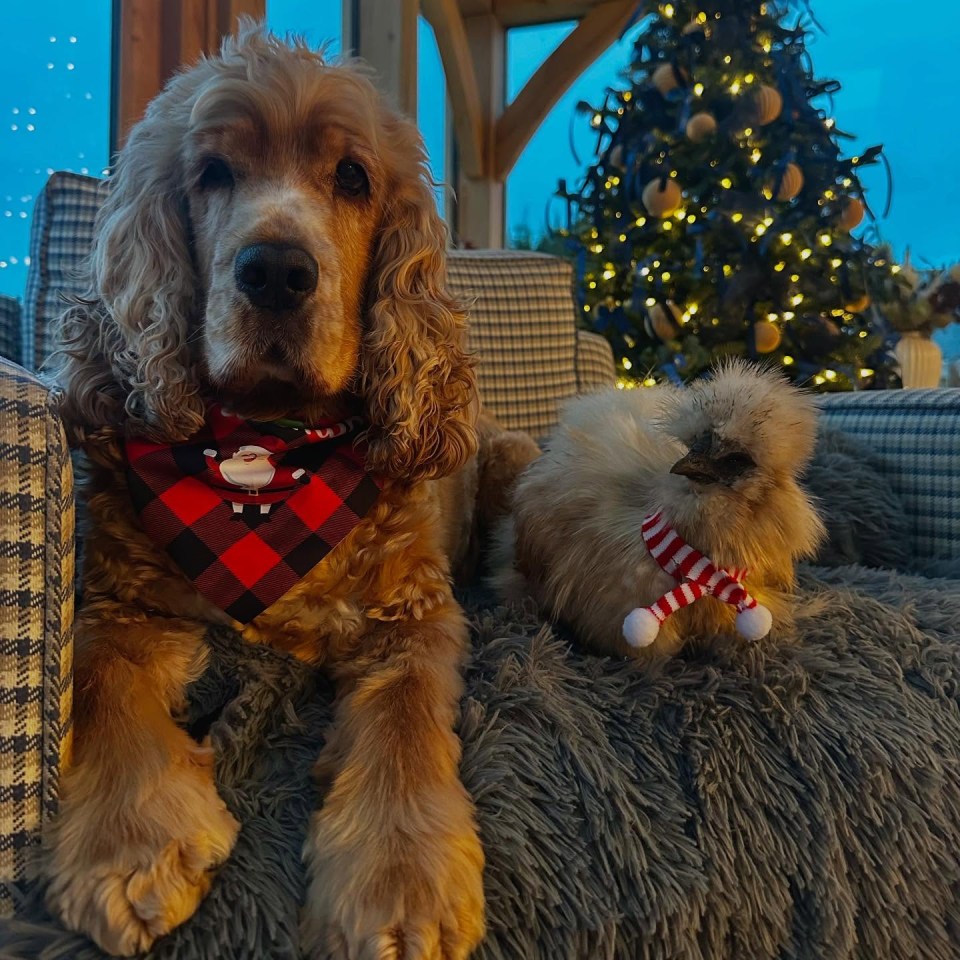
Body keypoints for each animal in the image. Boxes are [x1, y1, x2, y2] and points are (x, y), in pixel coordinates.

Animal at [43, 22, 488, 960]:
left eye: (352, 177)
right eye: (213, 172)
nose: (276, 270)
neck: (265, 457)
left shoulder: (414, 614)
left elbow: (403, 719)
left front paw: (400, 880)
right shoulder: (118, 600)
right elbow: (99, 680)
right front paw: (130, 846)